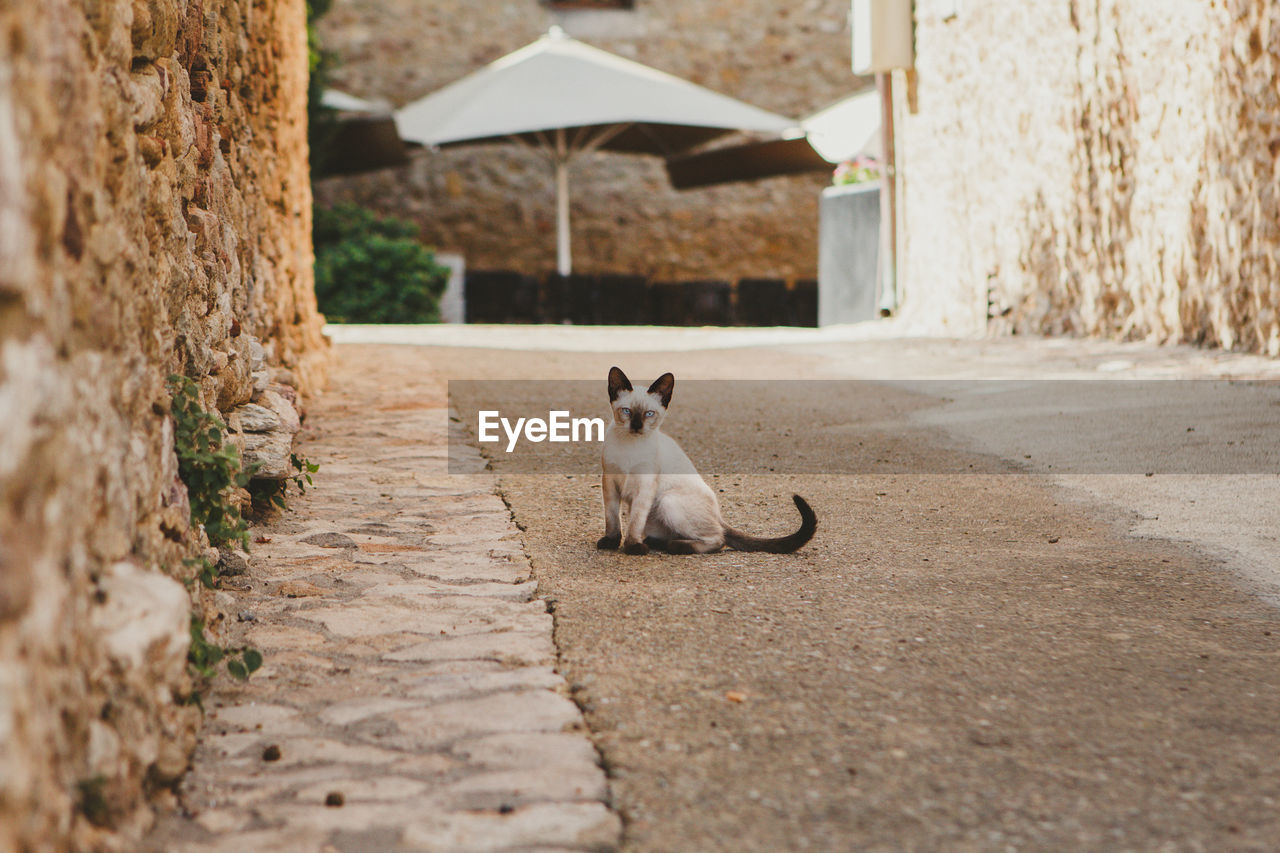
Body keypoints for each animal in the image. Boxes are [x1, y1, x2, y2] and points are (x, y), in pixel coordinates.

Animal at [593, 366, 814, 555]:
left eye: (649, 414)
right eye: (627, 411)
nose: (637, 427)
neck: (630, 446)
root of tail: (718, 515)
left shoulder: (645, 486)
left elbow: (634, 523)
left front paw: (632, 548)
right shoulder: (609, 481)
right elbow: (612, 519)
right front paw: (611, 542)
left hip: (668, 501)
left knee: (718, 539)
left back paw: (674, 546)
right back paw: (656, 542)